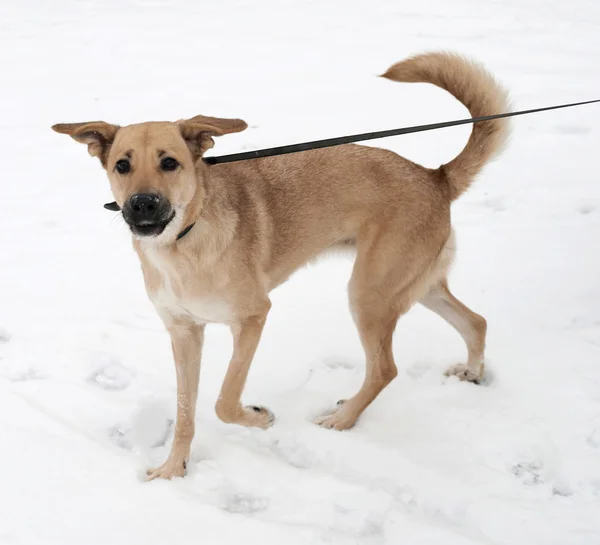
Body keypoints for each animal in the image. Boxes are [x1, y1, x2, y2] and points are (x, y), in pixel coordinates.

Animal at [52, 50, 510, 476]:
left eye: (169, 163)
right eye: (122, 165)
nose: (142, 204)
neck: (184, 241)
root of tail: (435, 176)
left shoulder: (253, 317)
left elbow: (224, 400)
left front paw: (258, 418)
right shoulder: (183, 332)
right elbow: (185, 411)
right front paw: (174, 469)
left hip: (369, 294)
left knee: (385, 368)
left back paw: (343, 418)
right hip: (412, 283)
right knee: (475, 321)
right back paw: (472, 373)